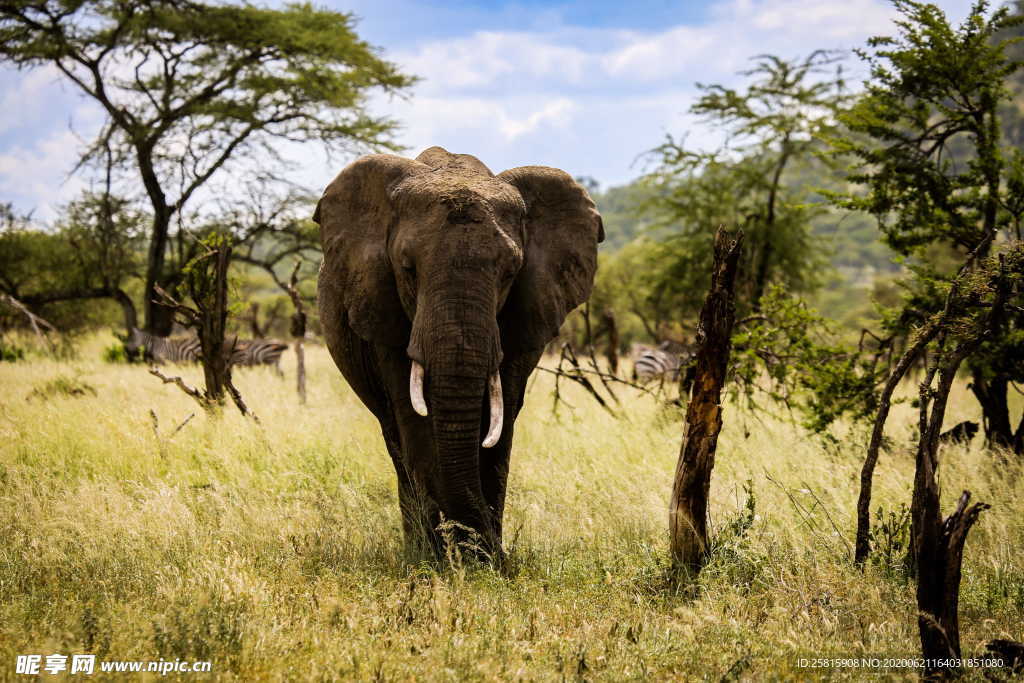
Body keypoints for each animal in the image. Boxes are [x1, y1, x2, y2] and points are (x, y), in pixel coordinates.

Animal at [311, 147, 598, 557]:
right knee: (394, 439)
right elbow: (414, 420)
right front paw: (442, 560)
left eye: (510, 272)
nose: (491, 550)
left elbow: (500, 423)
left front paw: (487, 559)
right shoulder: (382, 307)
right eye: (407, 269)